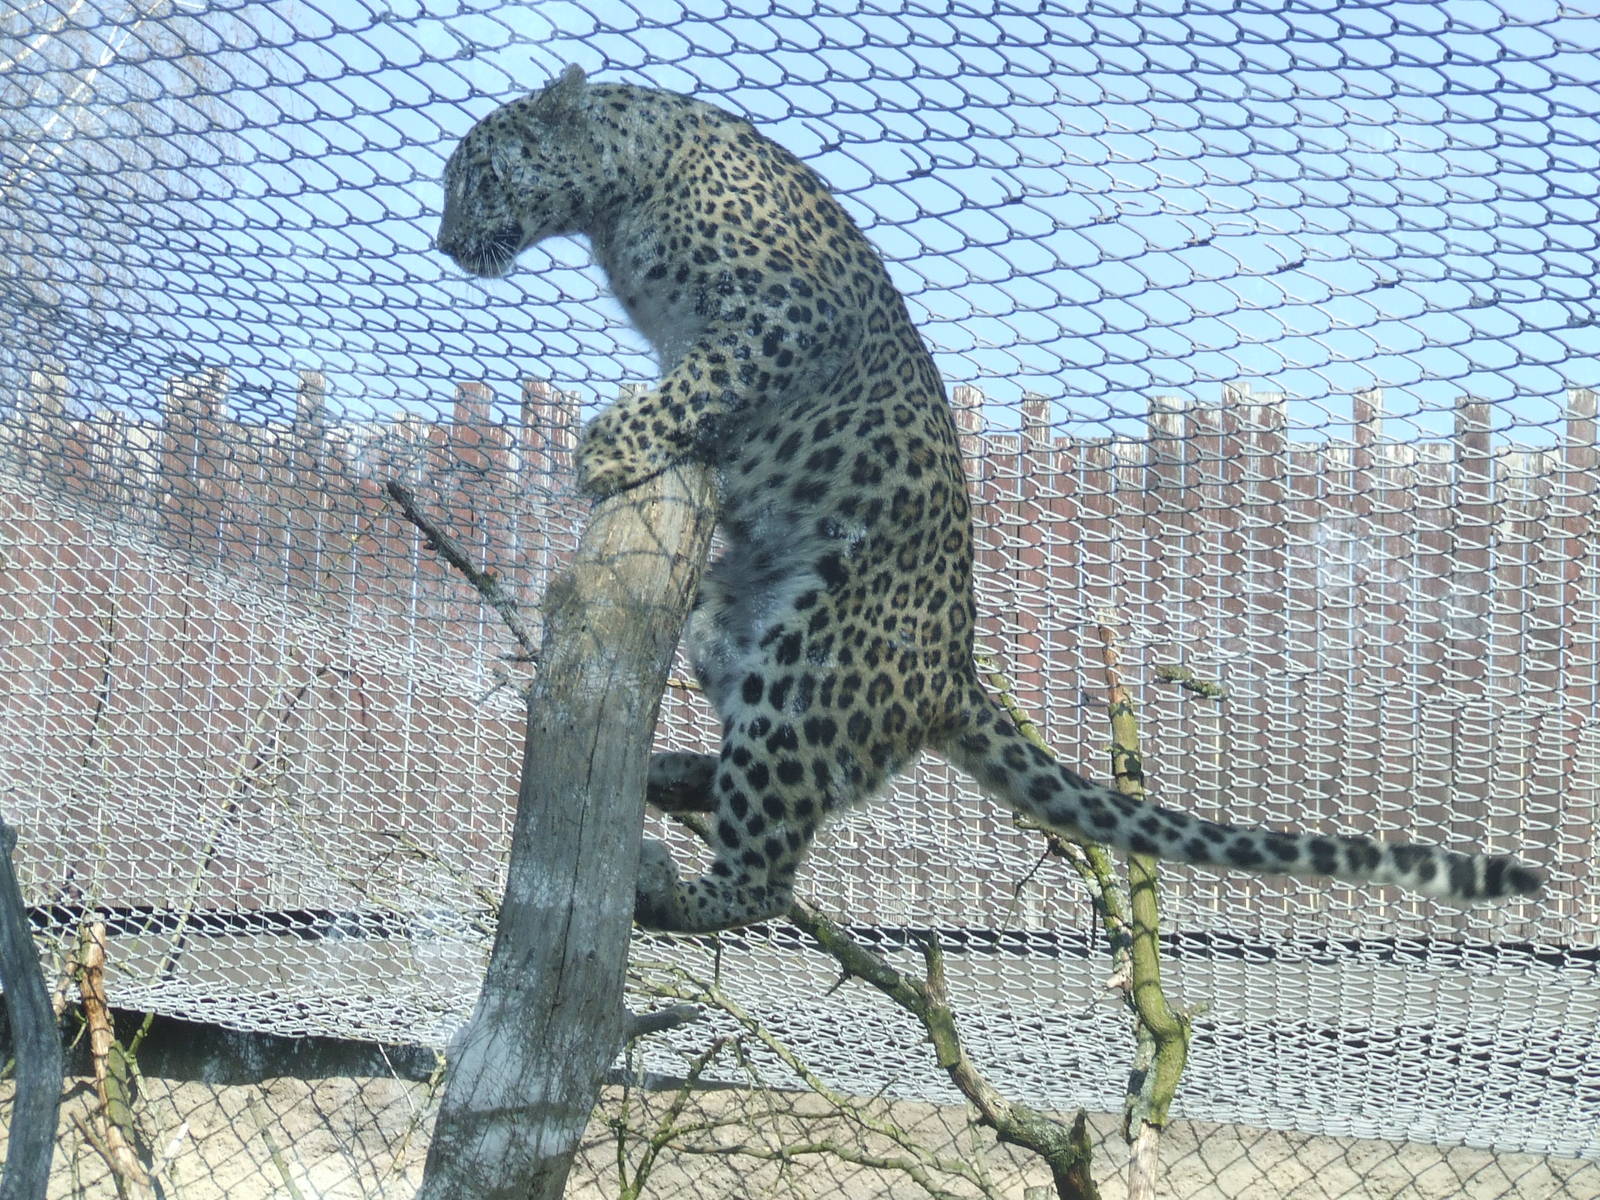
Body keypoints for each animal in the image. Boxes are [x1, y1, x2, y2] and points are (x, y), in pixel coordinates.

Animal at [435, 65, 1545, 933]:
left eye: (480, 175)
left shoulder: (776, 315)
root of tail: (955, 675)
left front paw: (608, 446)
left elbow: (698, 383)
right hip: (726, 626)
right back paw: (670, 774)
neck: (622, 192)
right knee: (797, 784)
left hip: (807, 667)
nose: (446, 246)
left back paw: (668, 887)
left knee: (765, 872)